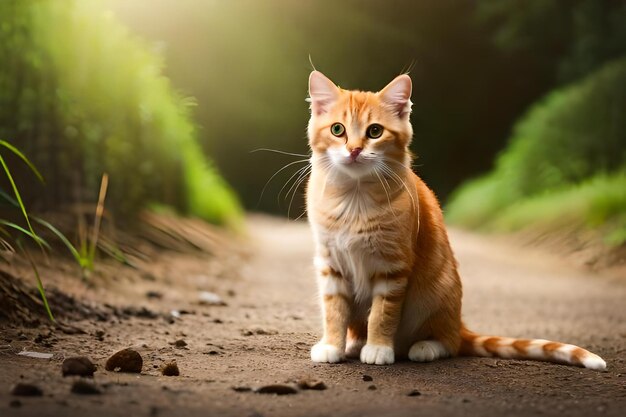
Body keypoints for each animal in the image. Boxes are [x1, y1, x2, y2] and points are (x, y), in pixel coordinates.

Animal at [302, 70, 604, 368]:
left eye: (374, 131)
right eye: (337, 129)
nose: (354, 150)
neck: (354, 200)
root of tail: (459, 324)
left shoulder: (393, 267)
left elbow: (382, 313)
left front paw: (378, 348)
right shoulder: (330, 264)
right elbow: (334, 310)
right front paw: (333, 345)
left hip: (437, 296)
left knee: (449, 343)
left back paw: (424, 347)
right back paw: (354, 343)